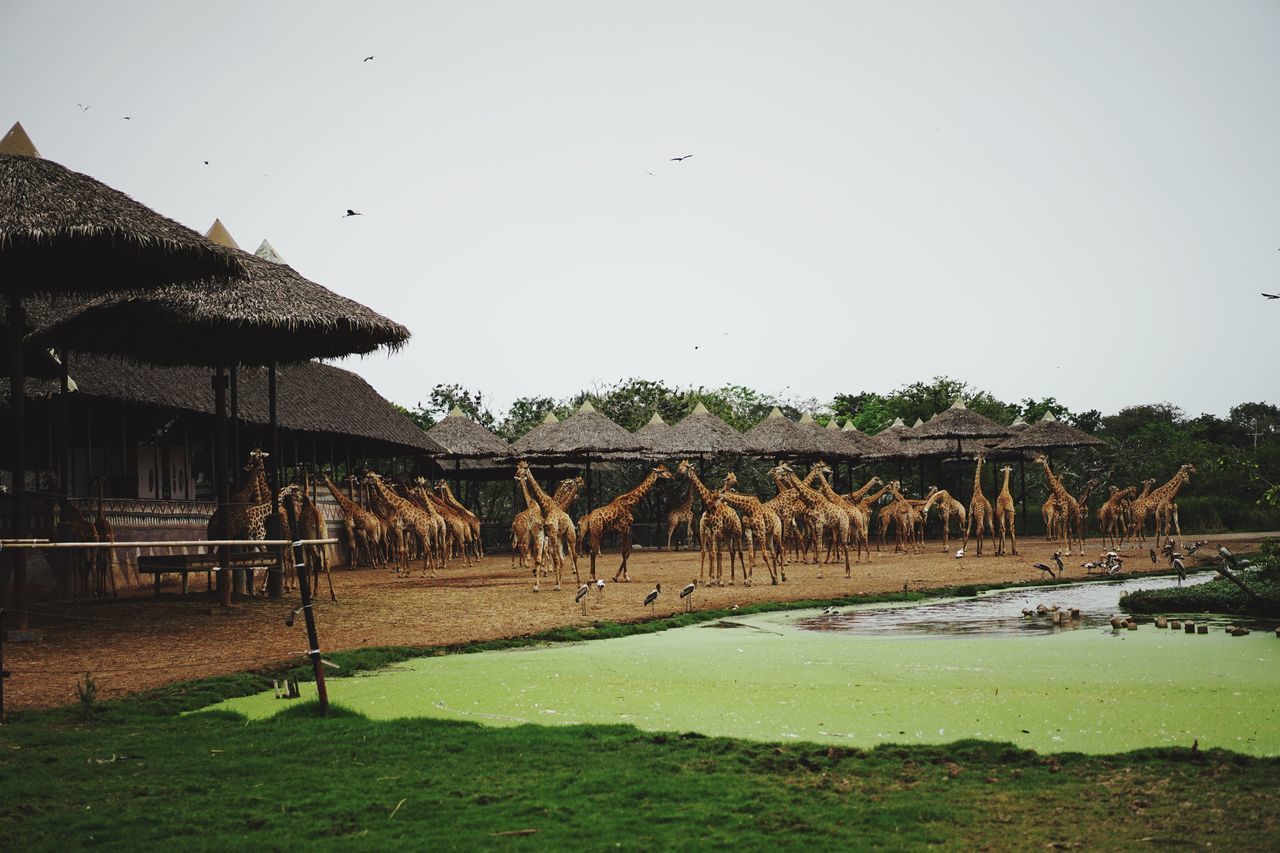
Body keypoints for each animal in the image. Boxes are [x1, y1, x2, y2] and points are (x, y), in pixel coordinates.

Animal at [517, 458, 583, 591]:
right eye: (518, 467)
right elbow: (540, 558)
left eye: (525, 467)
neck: (545, 508)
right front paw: (537, 586)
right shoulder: (541, 533)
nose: (517, 474)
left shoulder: (551, 533)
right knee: (560, 557)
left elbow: (554, 557)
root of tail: (570, 519)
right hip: (559, 537)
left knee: (574, 555)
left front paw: (556, 583)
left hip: (570, 535)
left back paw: (578, 583)